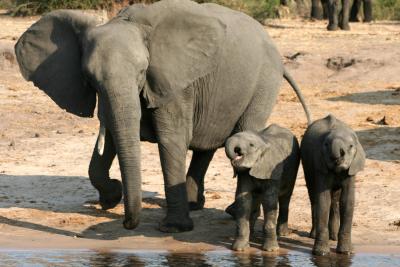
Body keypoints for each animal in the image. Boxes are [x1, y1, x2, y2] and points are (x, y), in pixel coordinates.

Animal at [14, 0, 310, 233]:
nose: (126, 223)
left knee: (245, 128)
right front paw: (111, 197)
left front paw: (173, 229)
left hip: (264, 82)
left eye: (142, 70)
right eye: (89, 78)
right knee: (206, 145)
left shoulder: (173, 81)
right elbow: (111, 138)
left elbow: (171, 139)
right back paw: (194, 204)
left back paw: (230, 210)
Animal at [225, 124, 300, 252]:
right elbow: (243, 199)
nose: (237, 151)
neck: (263, 141)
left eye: (251, 145)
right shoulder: (244, 173)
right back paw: (252, 235)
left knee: (285, 197)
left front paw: (271, 250)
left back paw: (282, 233)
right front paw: (239, 249)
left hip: (293, 168)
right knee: (256, 199)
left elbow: (269, 200)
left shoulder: (272, 170)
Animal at [300, 114, 366, 256]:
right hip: (306, 164)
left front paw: (346, 252)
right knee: (313, 195)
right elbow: (323, 200)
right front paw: (321, 253)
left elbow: (347, 201)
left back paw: (333, 237)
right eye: (325, 145)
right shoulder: (320, 165)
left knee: (335, 200)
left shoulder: (351, 168)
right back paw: (314, 235)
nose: (338, 156)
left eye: (351, 146)